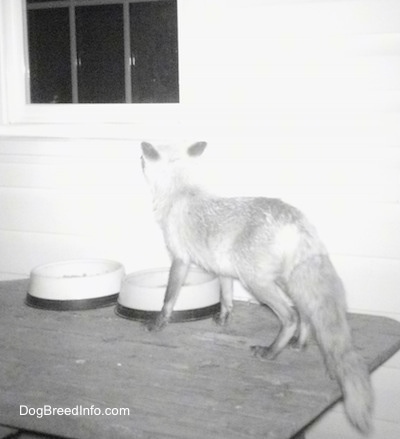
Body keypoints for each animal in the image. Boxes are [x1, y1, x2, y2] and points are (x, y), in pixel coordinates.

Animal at [139, 140, 374, 434]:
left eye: (143, 158)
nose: (138, 158)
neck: (181, 191)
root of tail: (296, 218)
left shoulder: (180, 258)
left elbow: (169, 297)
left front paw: (159, 323)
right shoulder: (223, 269)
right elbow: (226, 298)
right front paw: (224, 319)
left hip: (256, 281)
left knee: (290, 315)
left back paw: (271, 352)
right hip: (285, 280)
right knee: (305, 312)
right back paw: (299, 344)